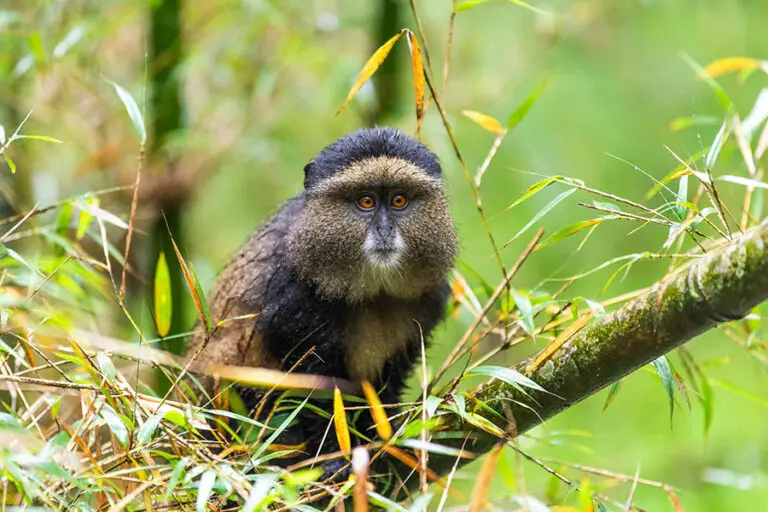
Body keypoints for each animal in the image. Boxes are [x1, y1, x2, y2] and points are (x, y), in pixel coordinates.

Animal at [185, 127, 457, 477]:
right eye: (366, 201)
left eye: (399, 200)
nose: (384, 229)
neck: (374, 292)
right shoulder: (295, 302)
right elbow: (312, 389)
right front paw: (332, 457)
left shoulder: (428, 299)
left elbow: (387, 379)